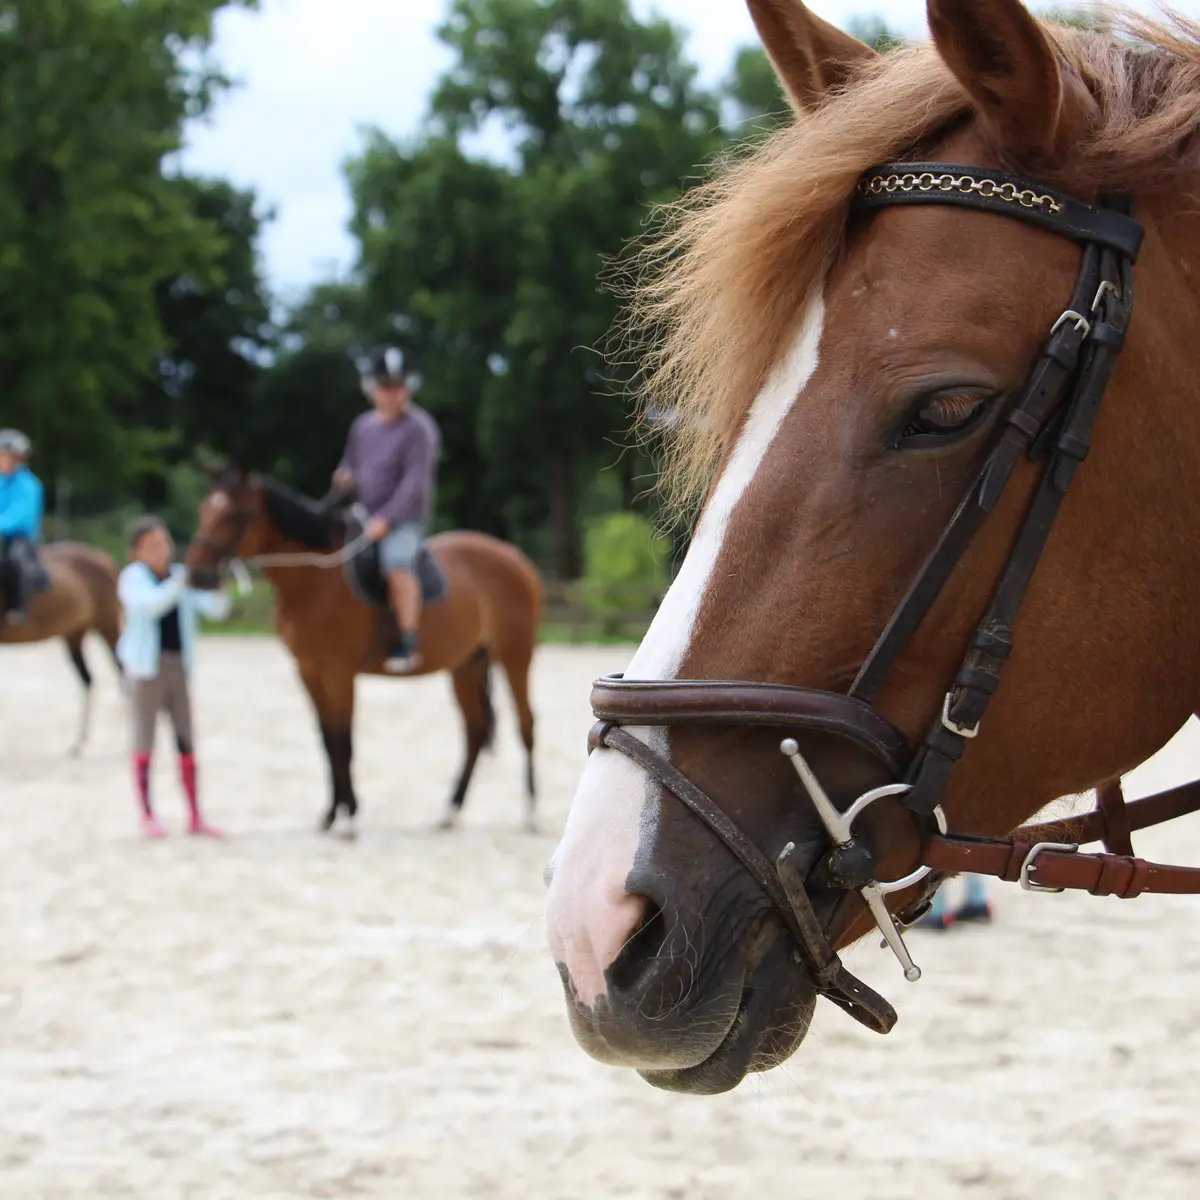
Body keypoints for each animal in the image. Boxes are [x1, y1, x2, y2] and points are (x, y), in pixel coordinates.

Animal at [187, 468, 544, 835]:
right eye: (204, 511)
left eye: (235, 515)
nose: (196, 575)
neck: (317, 579)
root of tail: (515, 558)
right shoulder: (308, 670)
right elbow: (327, 740)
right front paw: (331, 814)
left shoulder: (338, 672)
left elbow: (344, 740)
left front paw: (348, 817)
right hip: (466, 666)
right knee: (475, 731)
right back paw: (450, 811)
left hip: (516, 657)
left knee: (526, 724)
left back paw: (530, 813)